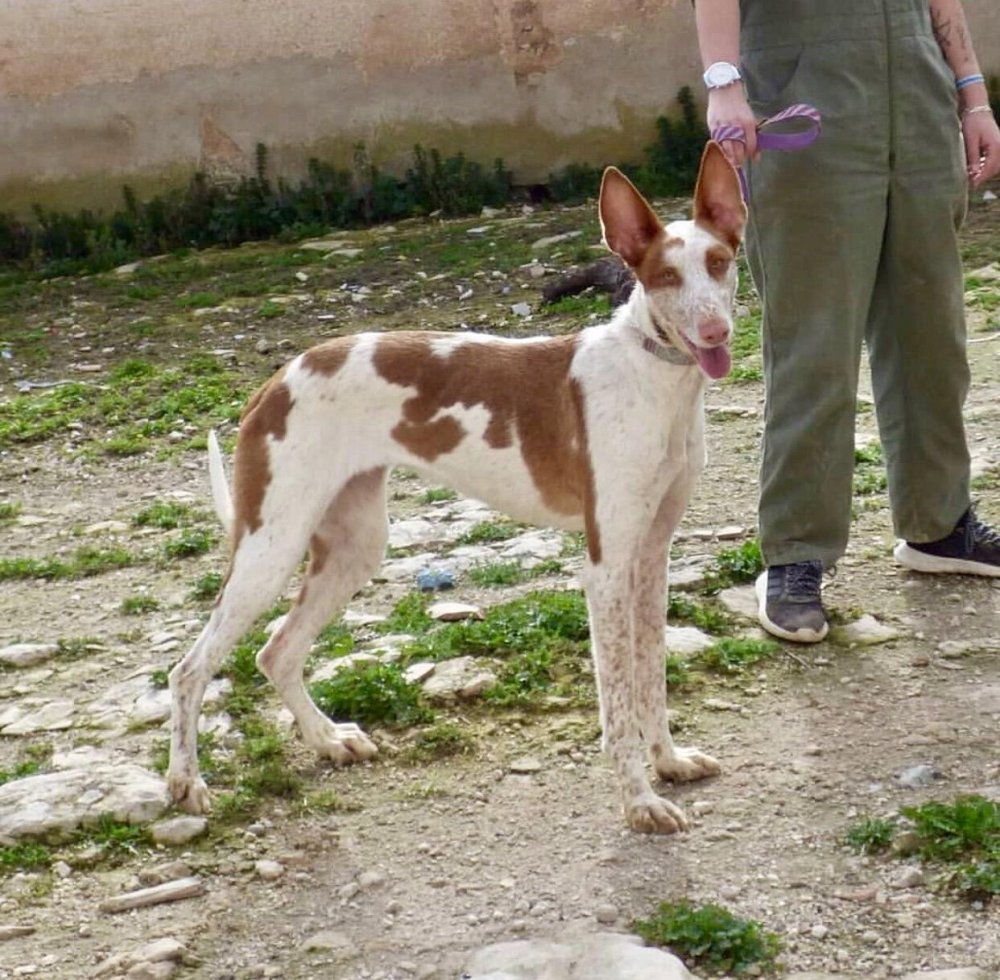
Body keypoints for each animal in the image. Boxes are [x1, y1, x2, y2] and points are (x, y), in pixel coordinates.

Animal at [166, 144, 744, 836]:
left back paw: (329, 741)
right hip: (270, 549)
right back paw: (186, 783)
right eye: (664, 277)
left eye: (719, 263)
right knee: (189, 669)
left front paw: (670, 762)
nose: (714, 332)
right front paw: (639, 800)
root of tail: (276, 379)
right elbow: (618, 703)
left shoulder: (652, 555)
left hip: (354, 546)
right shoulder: (606, 566)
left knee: (275, 653)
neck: (654, 375)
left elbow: (651, 677)